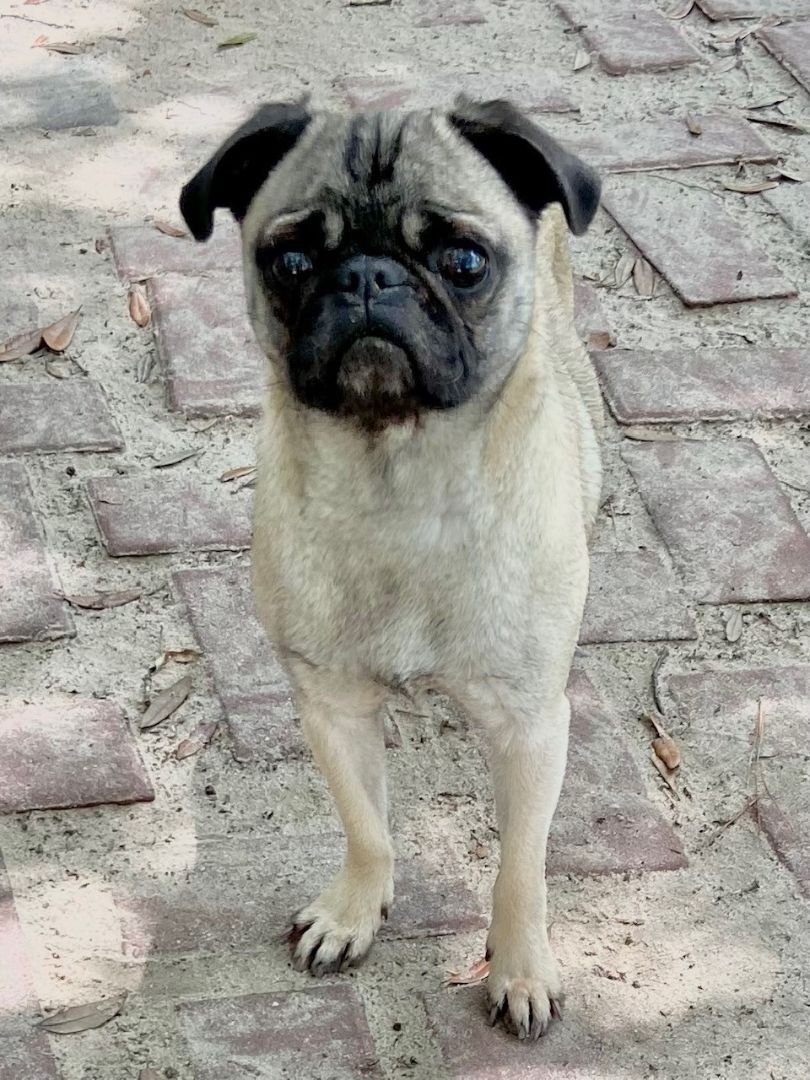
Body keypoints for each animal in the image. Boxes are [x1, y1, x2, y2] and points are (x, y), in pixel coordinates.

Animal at [182, 99, 604, 1036]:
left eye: (464, 261)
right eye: (292, 261)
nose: (369, 278)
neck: (398, 481)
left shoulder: (531, 727)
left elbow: (521, 868)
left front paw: (520, 967)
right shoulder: (331, 707)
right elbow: (367, 828)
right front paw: (353, 912)